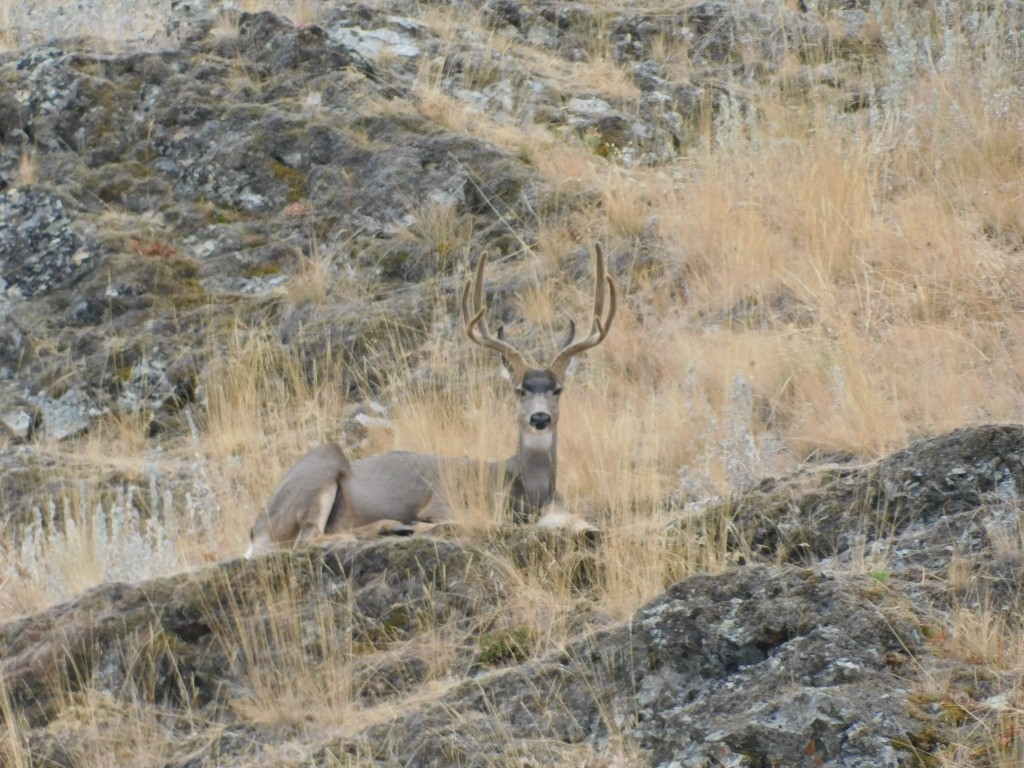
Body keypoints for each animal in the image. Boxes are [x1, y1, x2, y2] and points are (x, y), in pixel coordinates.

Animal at [247, 246, 614, 561]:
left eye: (558, 389)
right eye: (518, 389)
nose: (539, 418)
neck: (522, 485)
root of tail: (255, 531)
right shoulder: (443, 501)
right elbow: (473, 519)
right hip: (323, 462)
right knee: (308, 537)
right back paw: (391, 527)